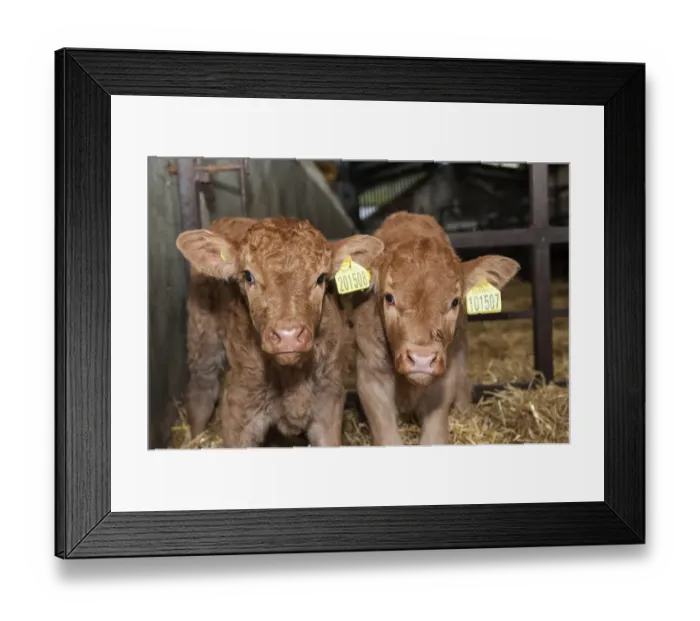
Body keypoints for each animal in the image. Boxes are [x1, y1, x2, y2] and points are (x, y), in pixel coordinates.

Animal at [175, 216, 384, 448]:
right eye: (248, 276)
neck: (290, 376)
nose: (288, 335)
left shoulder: (328, 404)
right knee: (201, 390)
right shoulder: (238, 408)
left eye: (321, 278)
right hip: (202, 333)